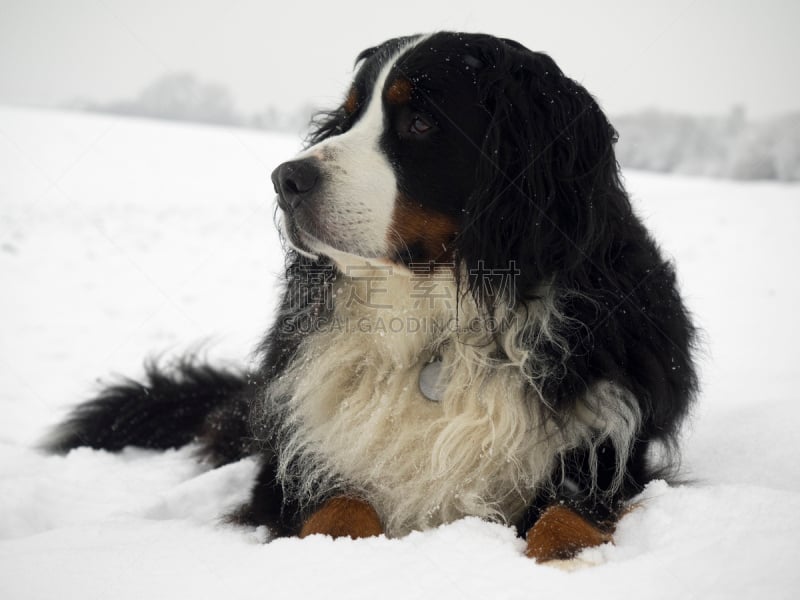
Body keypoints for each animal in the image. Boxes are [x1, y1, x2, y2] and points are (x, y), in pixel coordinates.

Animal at [45, 30, 692, 560]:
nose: (286, 179)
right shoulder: (296, 465)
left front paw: (569, 561)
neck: (437, 314)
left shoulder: (605, 453)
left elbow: (566, 518)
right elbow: (341, 509)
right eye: (350, 117)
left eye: (421, 122)